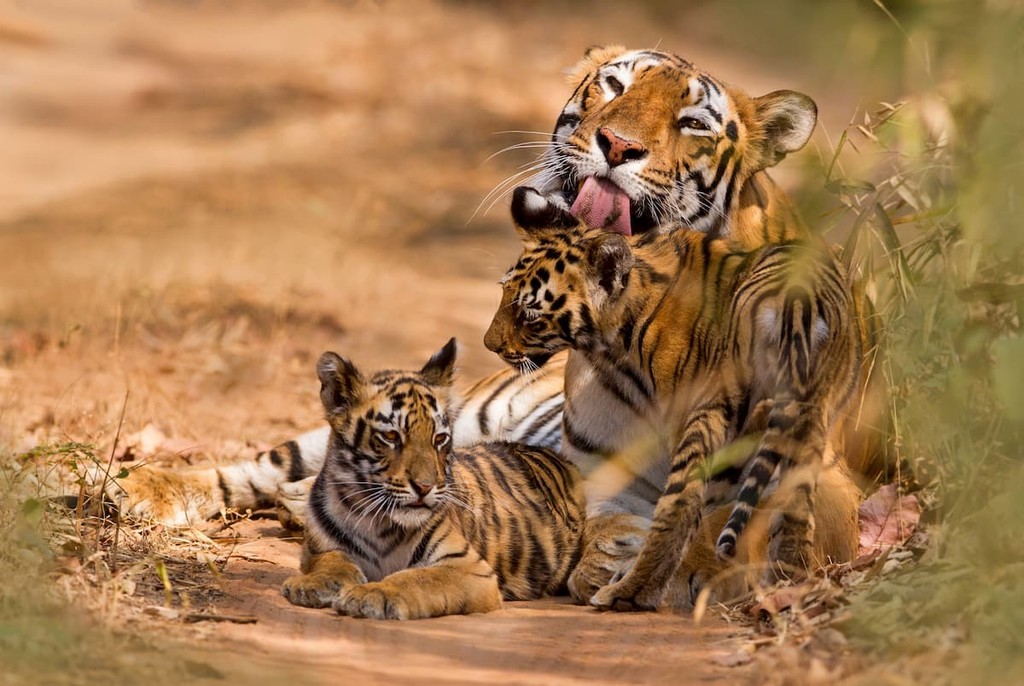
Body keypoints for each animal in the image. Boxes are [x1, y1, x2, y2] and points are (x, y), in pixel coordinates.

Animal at [280, 338, 585, 620]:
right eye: (391, 436)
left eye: (439, 439)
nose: (424, 487)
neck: (374, 520)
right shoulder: (319, 548)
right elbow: (332, 562)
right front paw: (310, 584)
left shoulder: (468, 568)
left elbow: (416, 578)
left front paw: (372, 594)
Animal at [485, 186, 862, 610]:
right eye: (503, 293)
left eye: (530, 316)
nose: (489, 344)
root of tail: (796, 303)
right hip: (807, 419)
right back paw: (789, 579)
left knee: (682, 509)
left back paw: (629, 593)